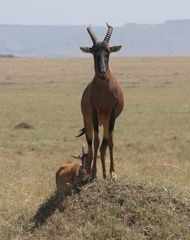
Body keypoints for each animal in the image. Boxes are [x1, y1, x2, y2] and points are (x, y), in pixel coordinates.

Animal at [77, 23, 124, 180]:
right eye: (94, 53)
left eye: (108, 52)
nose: (103, 74)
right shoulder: (94, 112)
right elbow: (96, 142)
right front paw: (94, 173)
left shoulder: (112, 112)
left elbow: (110, 142)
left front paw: (112, 173)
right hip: (89, 121)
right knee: (91, 145)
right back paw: (89, 172)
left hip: (106, 119)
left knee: (104, 143)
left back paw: (104, 174)